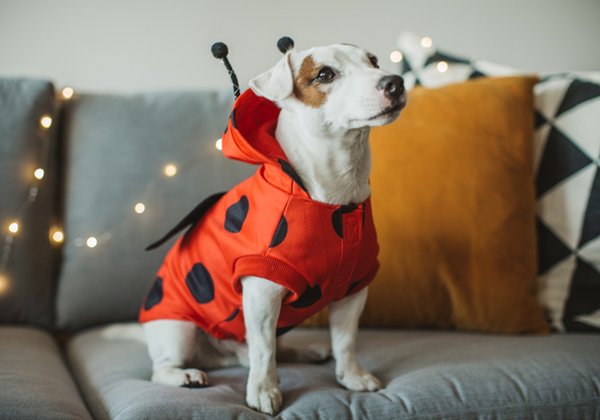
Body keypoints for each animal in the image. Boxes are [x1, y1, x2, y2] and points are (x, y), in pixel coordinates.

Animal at [138, 42, 406, 414]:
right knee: (165, 366)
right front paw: (264, 391)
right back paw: (184, 374)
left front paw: (352, 375)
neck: (335, 195)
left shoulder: (354, 289)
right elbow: (264, 352)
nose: (395, 82)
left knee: (265, 349)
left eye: (374, 61)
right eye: (325, 74)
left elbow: (346, 340)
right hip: (179, 331)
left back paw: (304, 351)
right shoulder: (263, 291)